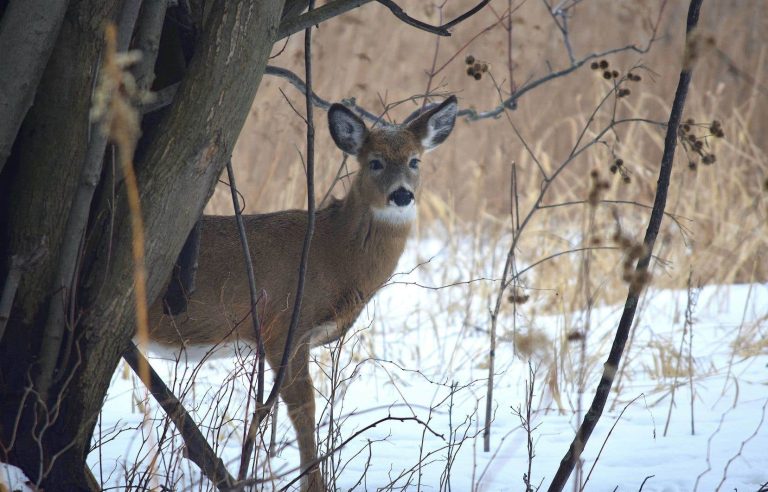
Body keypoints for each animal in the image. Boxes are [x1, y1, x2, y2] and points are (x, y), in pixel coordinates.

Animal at [144, 94, 456, 490]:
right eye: (375, 162)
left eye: (415, 160)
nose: (402, 194)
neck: (332, 252)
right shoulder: (284, 325)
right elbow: (303, 409)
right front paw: (315, 484)